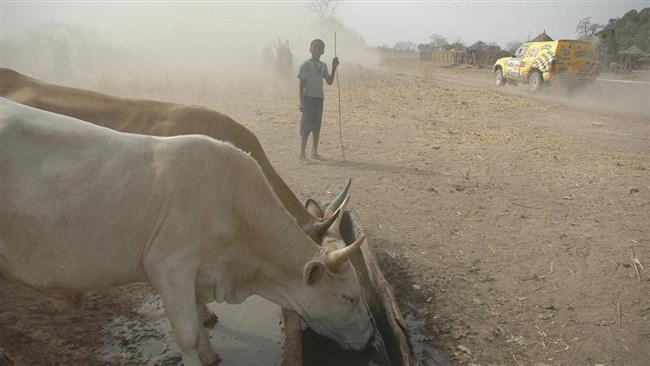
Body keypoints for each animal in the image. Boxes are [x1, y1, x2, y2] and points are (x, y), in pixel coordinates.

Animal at [0, 98, 372, 364]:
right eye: (349, 297)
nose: (371, 338)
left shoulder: (196, 271)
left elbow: (197, 314)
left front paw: (210, 353)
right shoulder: (170, 265)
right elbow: (188, 334)